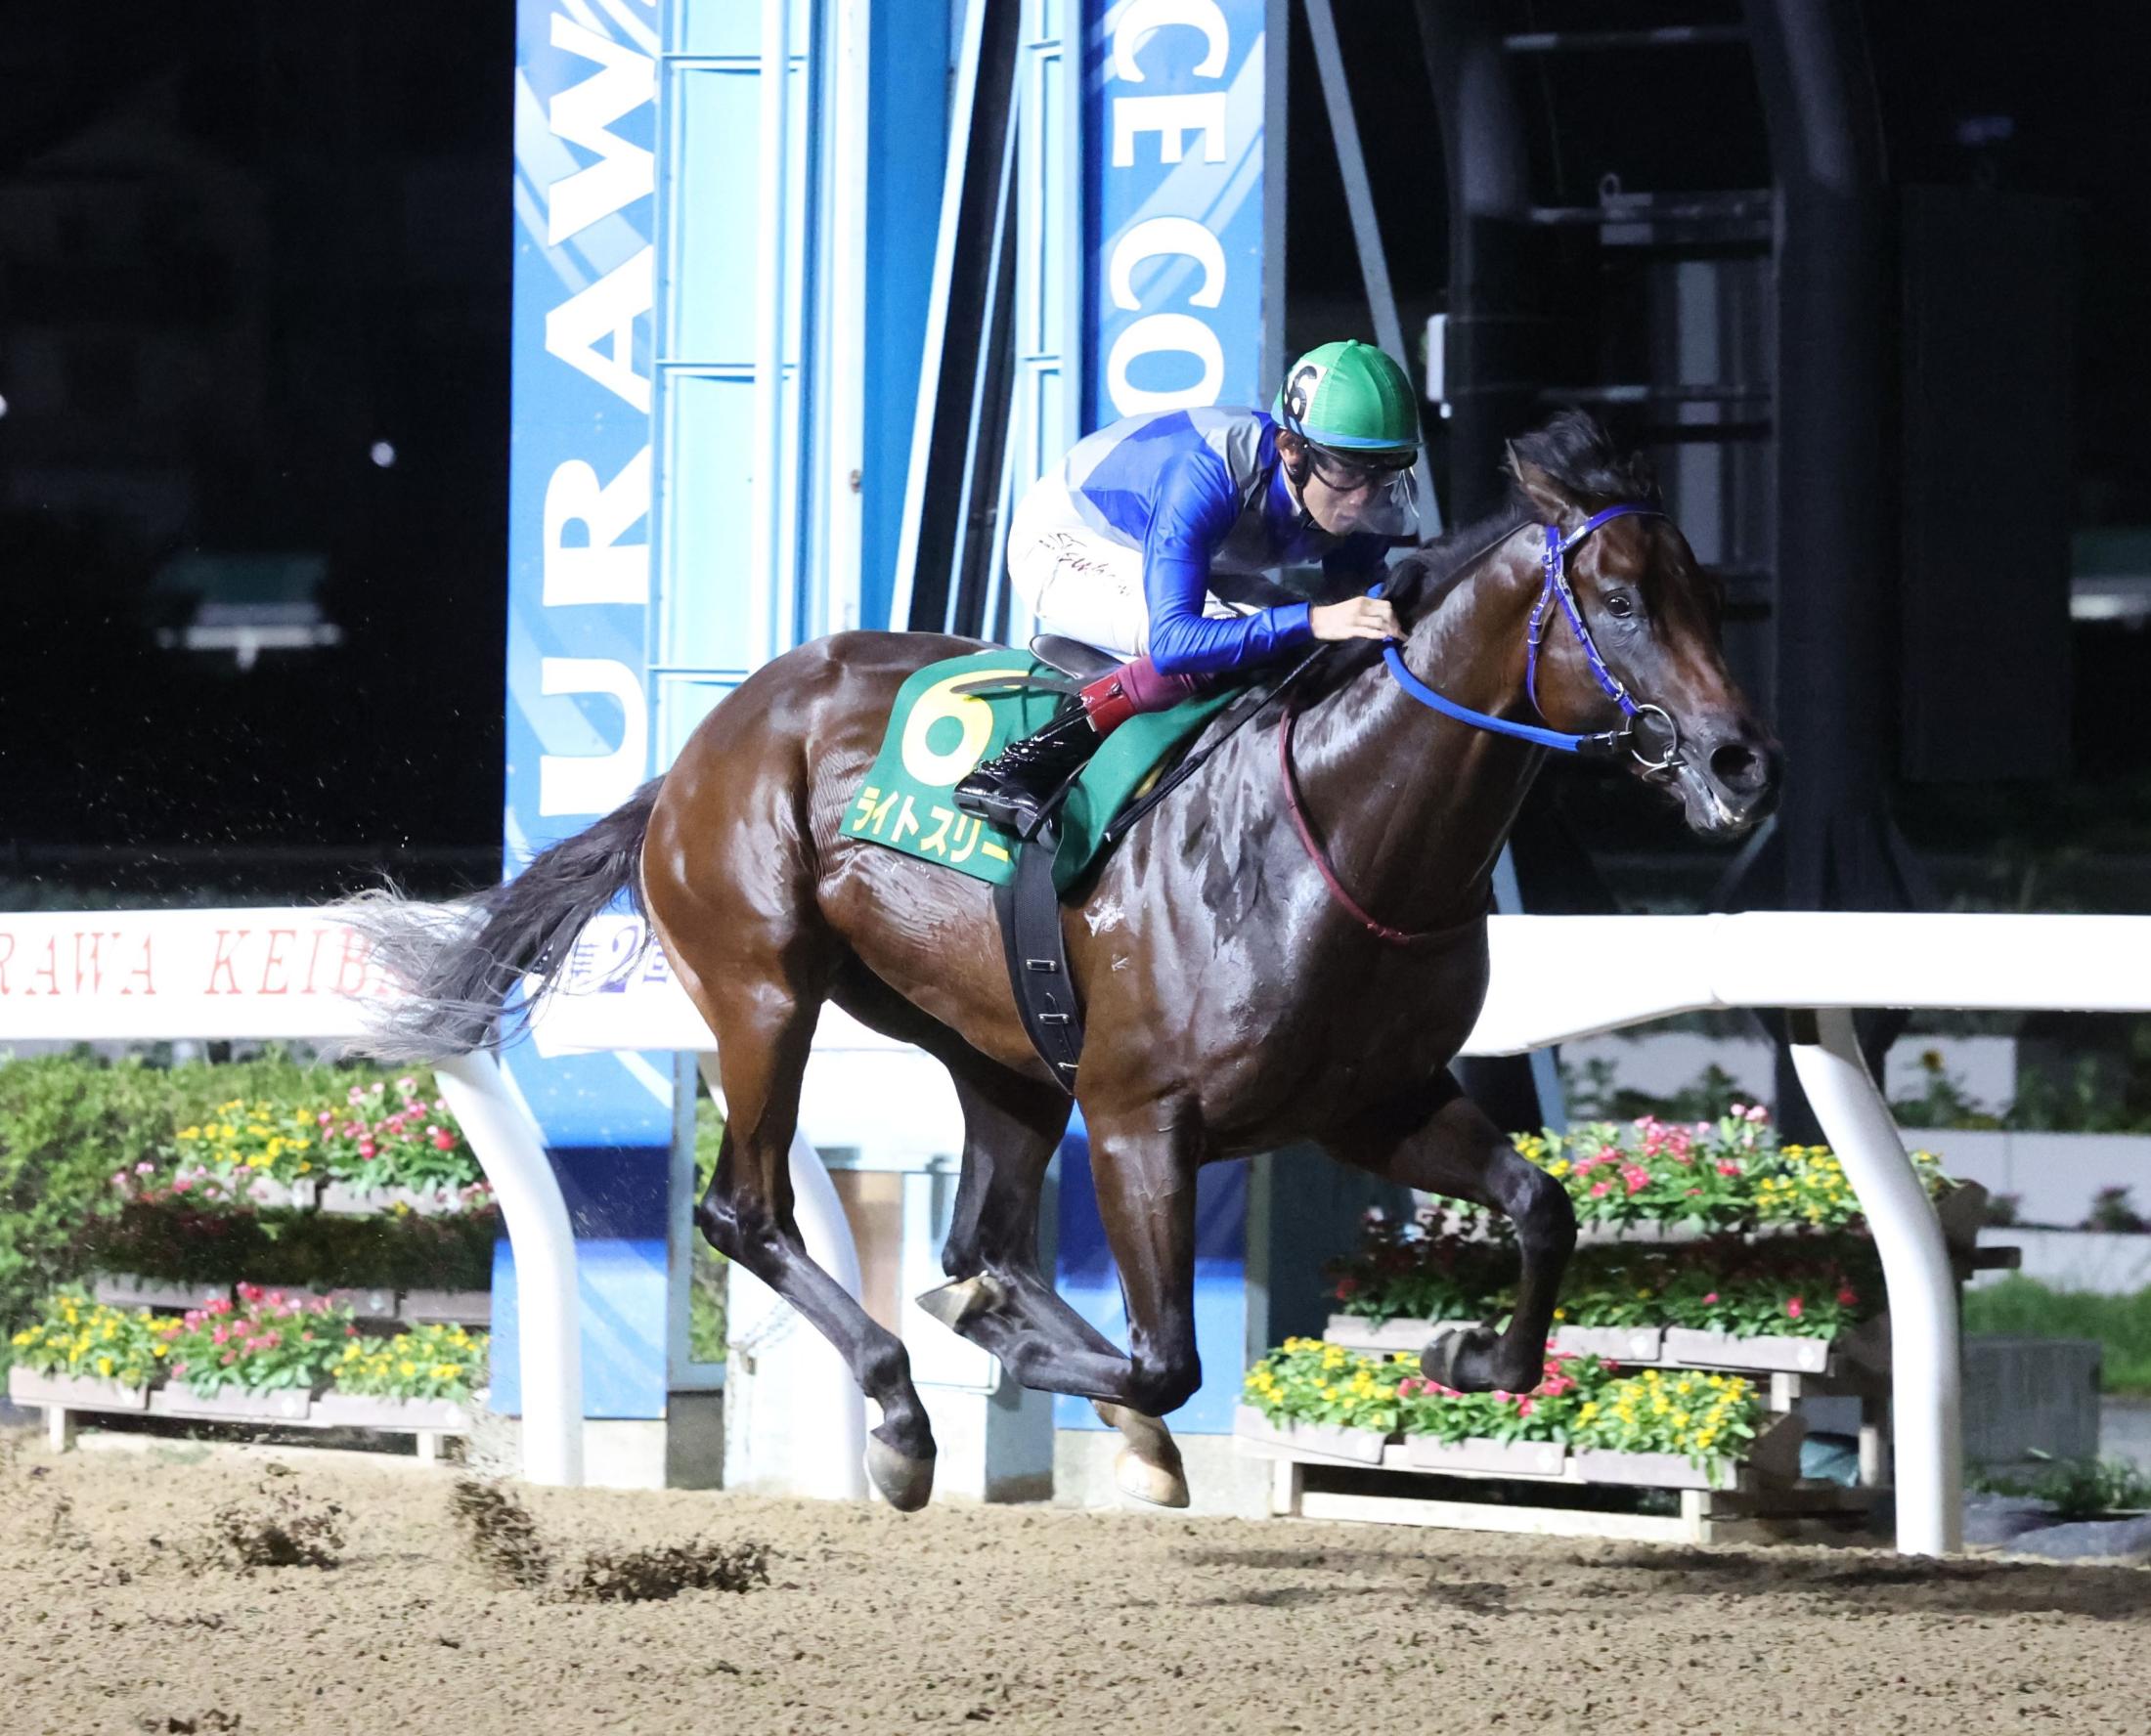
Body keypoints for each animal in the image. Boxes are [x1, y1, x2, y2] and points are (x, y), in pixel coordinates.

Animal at [352, 416, 1772, 1505]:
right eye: (1623, 601)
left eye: (1712, 594)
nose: (1740, 761)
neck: (1342, 828)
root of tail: (707, 742)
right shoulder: (1145, 1118)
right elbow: (1167, 1359)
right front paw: (1013, 1360)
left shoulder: (1372, 1101)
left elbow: (1542, 1209)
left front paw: (1465, 1356)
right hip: (766, 992)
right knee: (749, 1214)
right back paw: (904, 1414)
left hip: (1000, 1050)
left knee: (979, 1231)